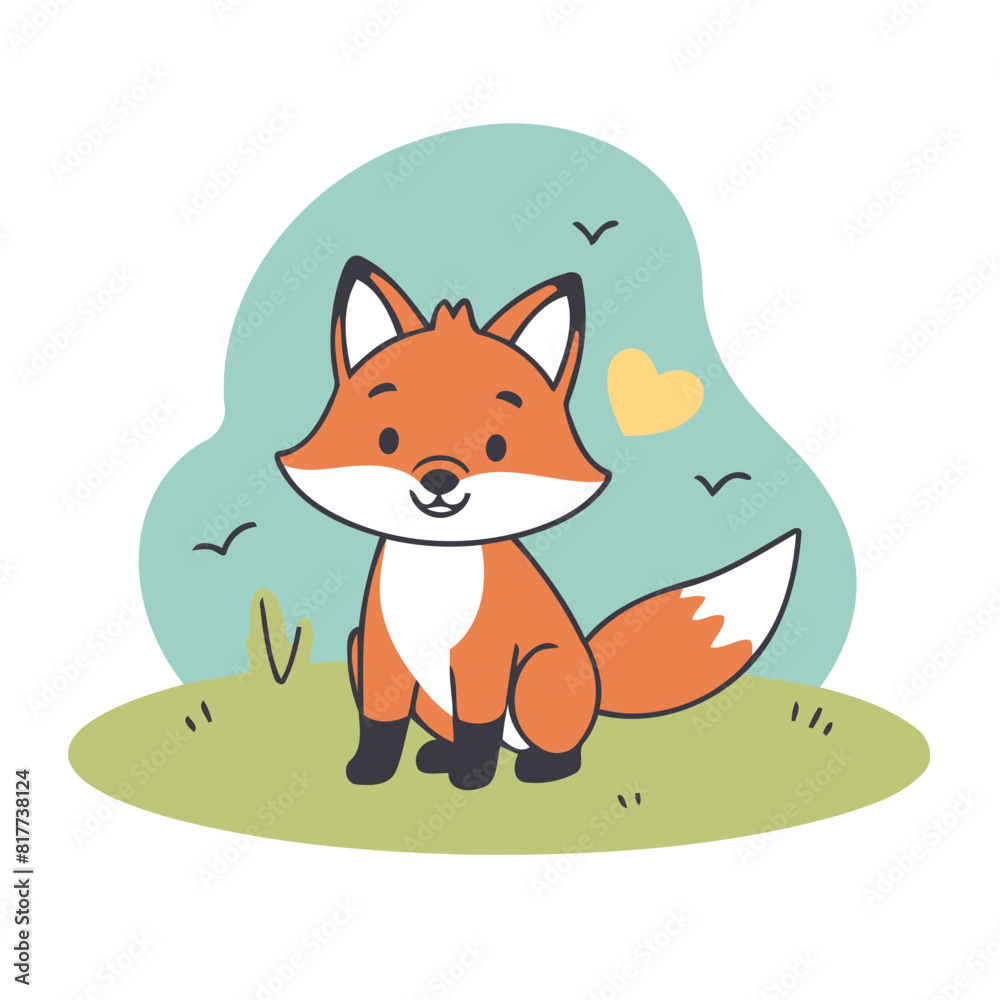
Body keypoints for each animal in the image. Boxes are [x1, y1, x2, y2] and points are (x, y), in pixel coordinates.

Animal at [278, 256, 800, 788]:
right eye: (387, 439)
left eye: (496, 446)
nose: (440, 477)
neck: (438, 564)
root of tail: (596, 681)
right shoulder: (380, 652)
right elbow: (380, 722)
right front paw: (371, 772)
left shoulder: (485, 655)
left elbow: (477, 725)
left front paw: (472, 779)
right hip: (362, 649)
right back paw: (439, 756)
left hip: (539, 670)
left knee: (559, 748)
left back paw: (540, 767)